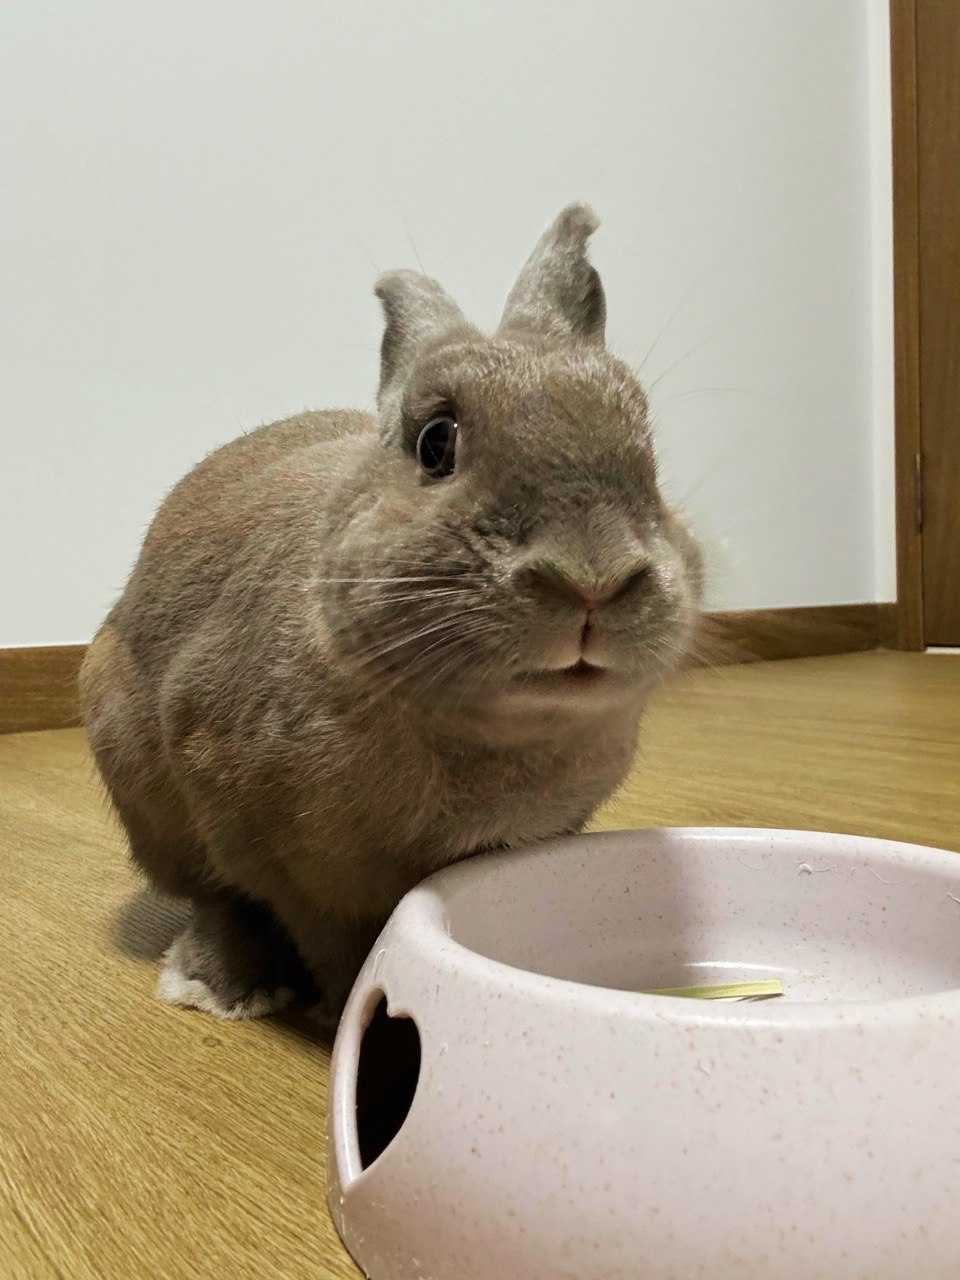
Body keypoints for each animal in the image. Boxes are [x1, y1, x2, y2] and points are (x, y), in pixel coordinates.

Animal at [80, 203, 704, 1024]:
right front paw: (347, 1005)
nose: (592, 577)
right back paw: (224, 984)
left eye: (650, 453)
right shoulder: (283, 857)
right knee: (213, 898)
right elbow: (321, 935)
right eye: (436, 443)